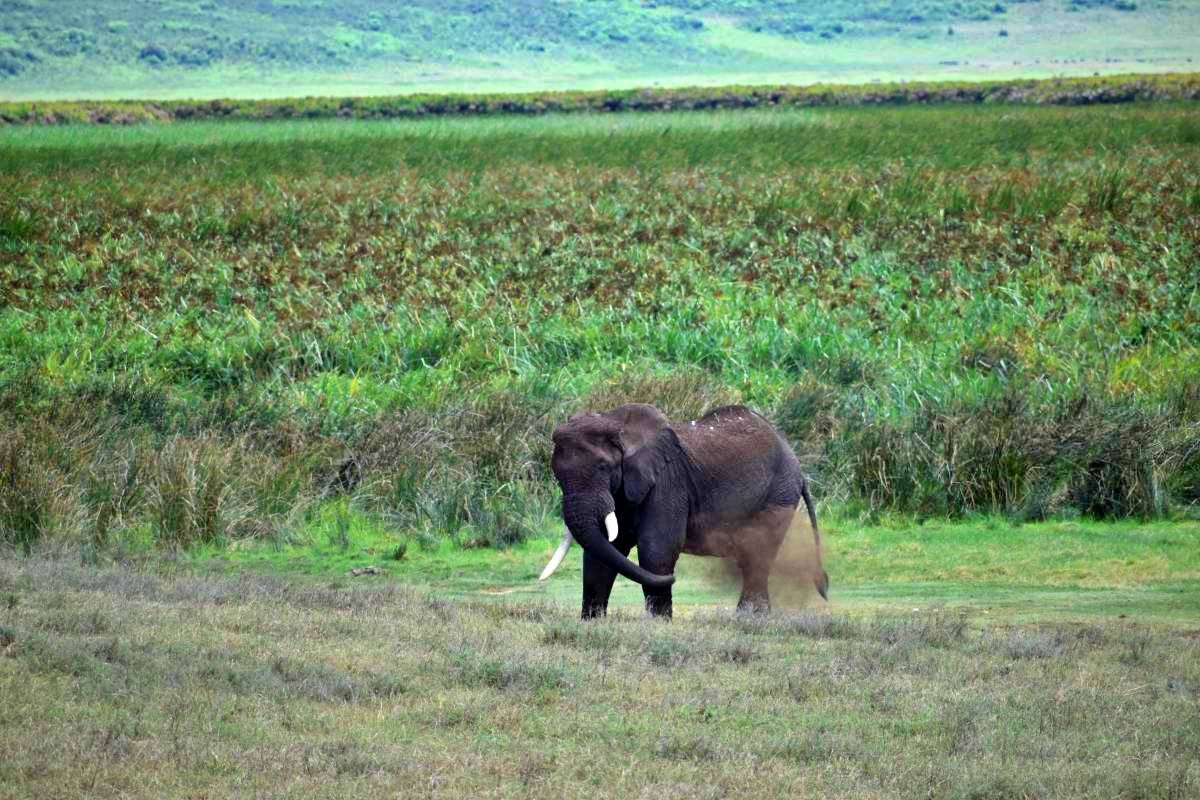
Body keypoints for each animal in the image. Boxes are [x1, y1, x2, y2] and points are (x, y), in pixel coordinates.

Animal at [537, 402, 825, 623]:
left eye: (602, 468)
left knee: (759, 554)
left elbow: (656, 551)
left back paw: (749, 617)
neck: (616, 424)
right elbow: (604, 554)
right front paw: (592, 622)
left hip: (780, 493)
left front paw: (659, 623)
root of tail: (794, 457)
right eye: (557, 474)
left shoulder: (667, 483)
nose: (673, 578)